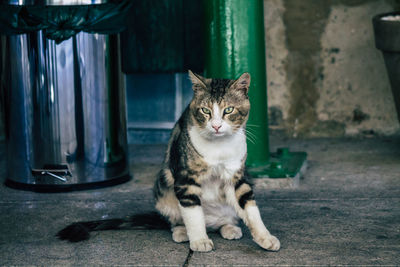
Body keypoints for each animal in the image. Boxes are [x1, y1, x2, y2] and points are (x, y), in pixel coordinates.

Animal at [57, 70, 280, 253]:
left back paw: (229, 227)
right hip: (163, 188)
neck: (218, 147)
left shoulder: (237, 176)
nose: (216, 126)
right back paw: (183, 232)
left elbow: (249, 207)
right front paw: (199, 240)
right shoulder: (185, 178)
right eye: (205, 111)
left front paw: (265, 237)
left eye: (228, 110)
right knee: (178, 218)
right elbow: (192, 212)